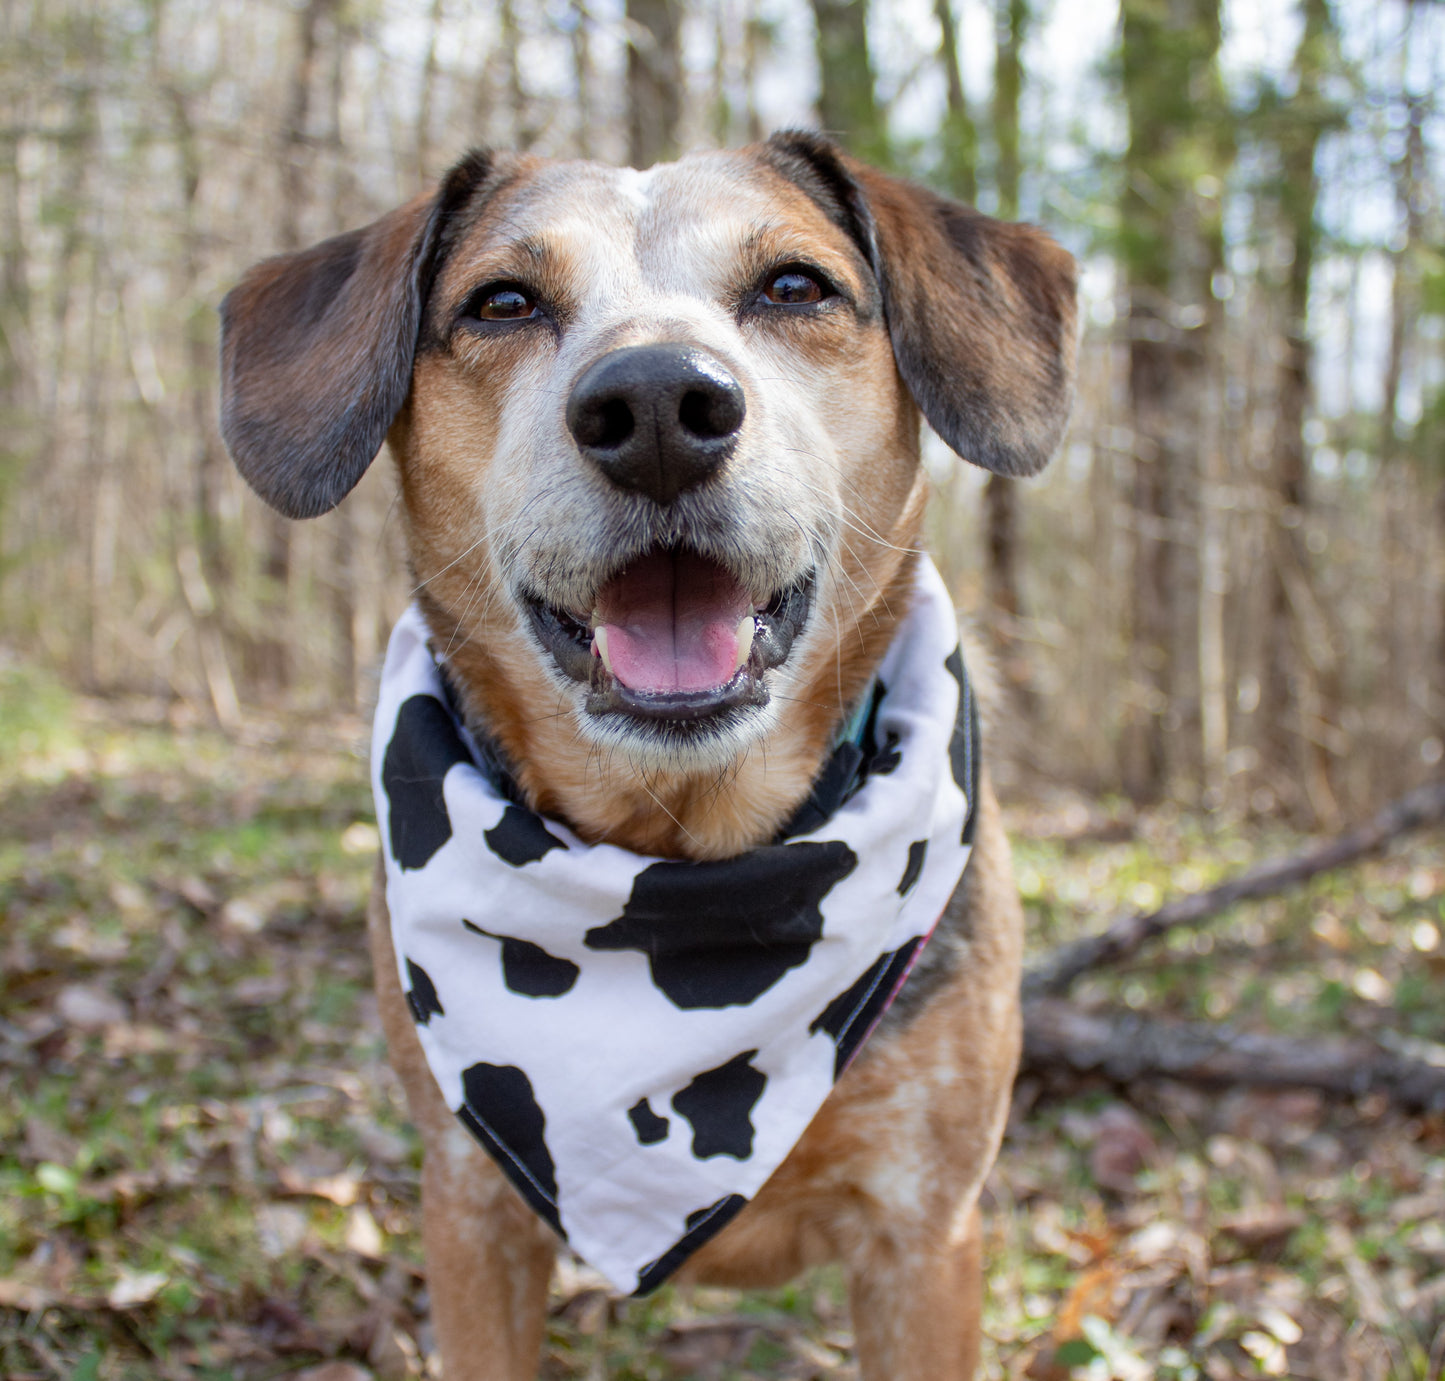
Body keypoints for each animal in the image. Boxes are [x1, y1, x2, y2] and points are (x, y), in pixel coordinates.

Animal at [213, 132, 1075, 1381]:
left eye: (794, 287)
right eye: (502, 302)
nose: (660, 401)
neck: (681, 862)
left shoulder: (923, 1229)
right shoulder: (470, 1207)